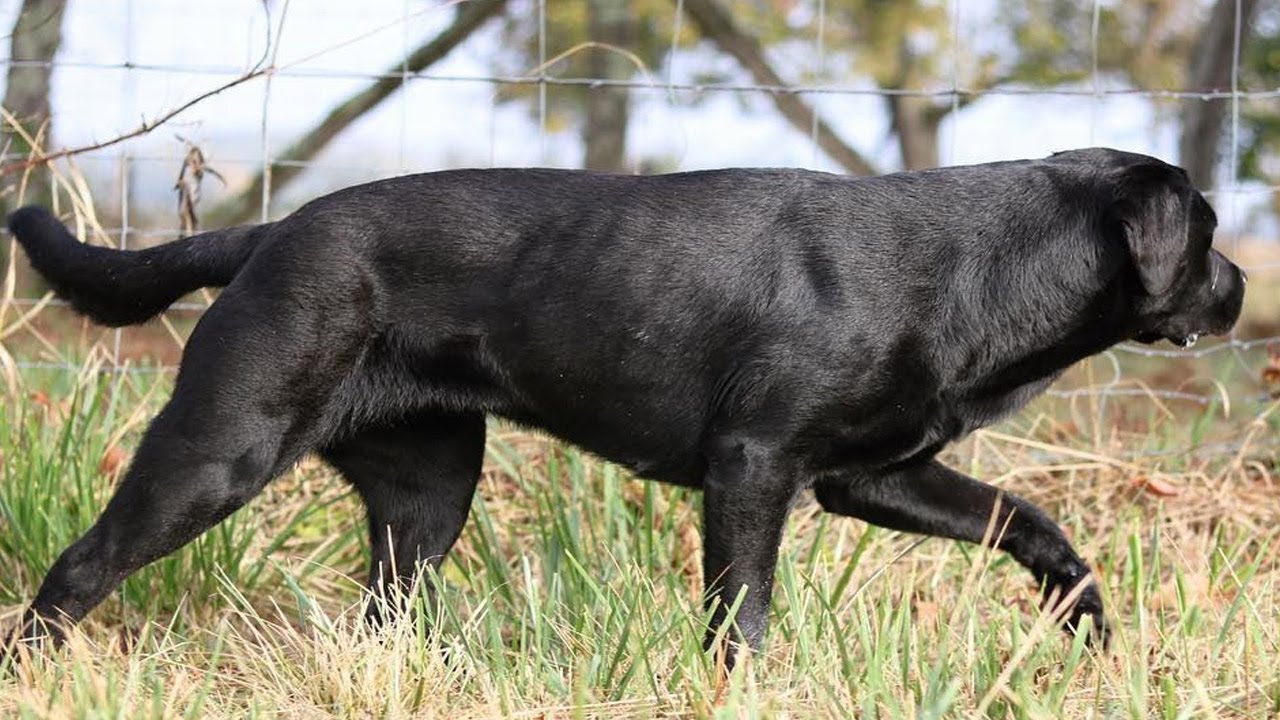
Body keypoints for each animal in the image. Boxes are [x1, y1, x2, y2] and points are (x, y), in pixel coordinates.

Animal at [5, 148, 1244, 661]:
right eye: (1209, 235)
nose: (1236, 290)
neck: (974, 266)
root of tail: (268, 230)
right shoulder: (754, 465)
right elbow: (740, 614)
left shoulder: (866, 476)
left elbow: (1027, 520)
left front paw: (1085, 624)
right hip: (221, 448)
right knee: (80, 565)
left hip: (428, 492)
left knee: (383, 612)